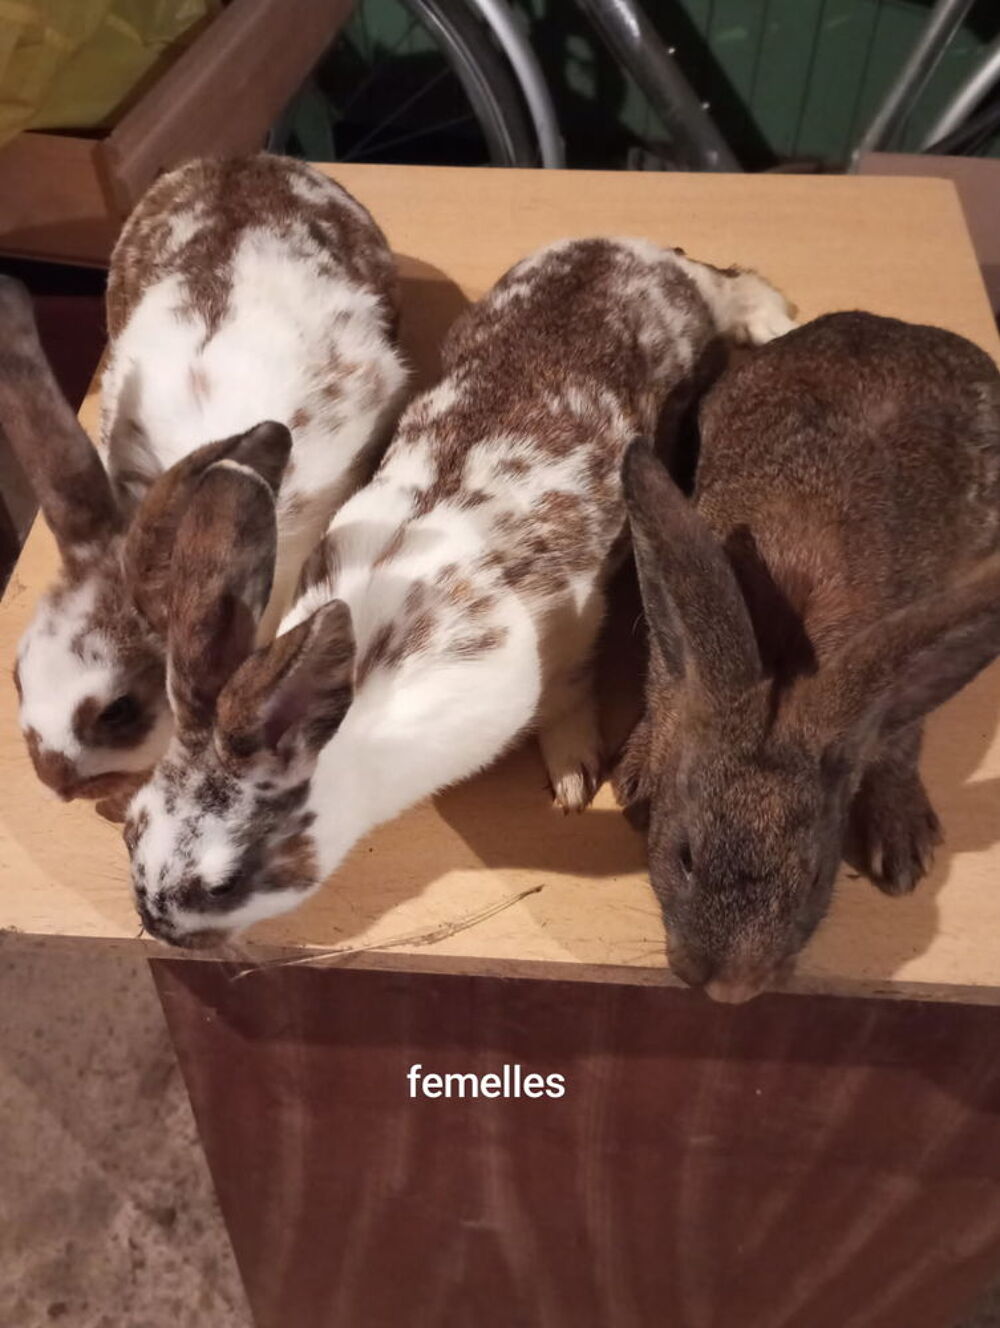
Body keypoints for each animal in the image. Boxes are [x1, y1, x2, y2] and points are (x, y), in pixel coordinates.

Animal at [120, 235, 795, 946]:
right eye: (131, 826)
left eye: (222, 882)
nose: (154, 924)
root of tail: (637, 252)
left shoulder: (570, 627)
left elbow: (568, 696)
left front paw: (574, 776)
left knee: (731, 283)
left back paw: (772, 322)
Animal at [614, 311, 1000, 1004]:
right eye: (684, 856)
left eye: (818, 876)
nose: (732, 989)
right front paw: (636, 773)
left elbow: (898, 744)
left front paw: (904, 847)